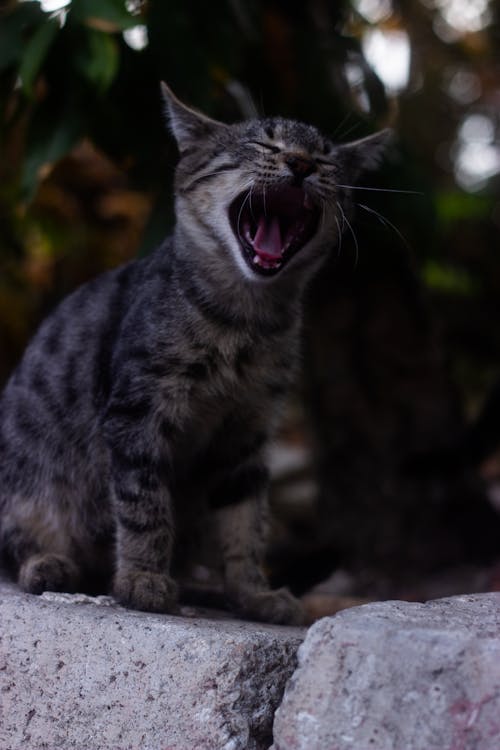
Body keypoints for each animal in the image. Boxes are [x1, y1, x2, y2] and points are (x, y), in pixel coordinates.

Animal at [0, 82, 388, 624]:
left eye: (326, 158)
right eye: (266, 144)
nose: (301, 163)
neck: (246, 321)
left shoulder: (247, 433)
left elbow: (246, 526)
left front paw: (251, 593)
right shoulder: (136, 414)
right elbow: (145, 508)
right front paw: (142, 579)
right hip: (31, 489)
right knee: (23, 540)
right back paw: (50, 564)